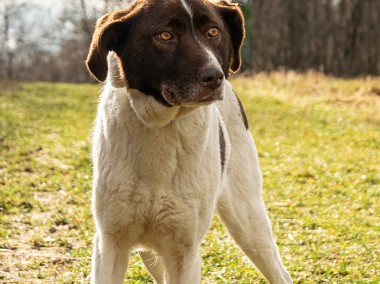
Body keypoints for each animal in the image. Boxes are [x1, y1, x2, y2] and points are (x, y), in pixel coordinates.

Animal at [87, 1, 294, 282]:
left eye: (214, 32)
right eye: (165, 35)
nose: (215, 77)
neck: (161, 126)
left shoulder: (183, 250)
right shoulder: (110, 244)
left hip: (248, 217)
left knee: (280, 272)